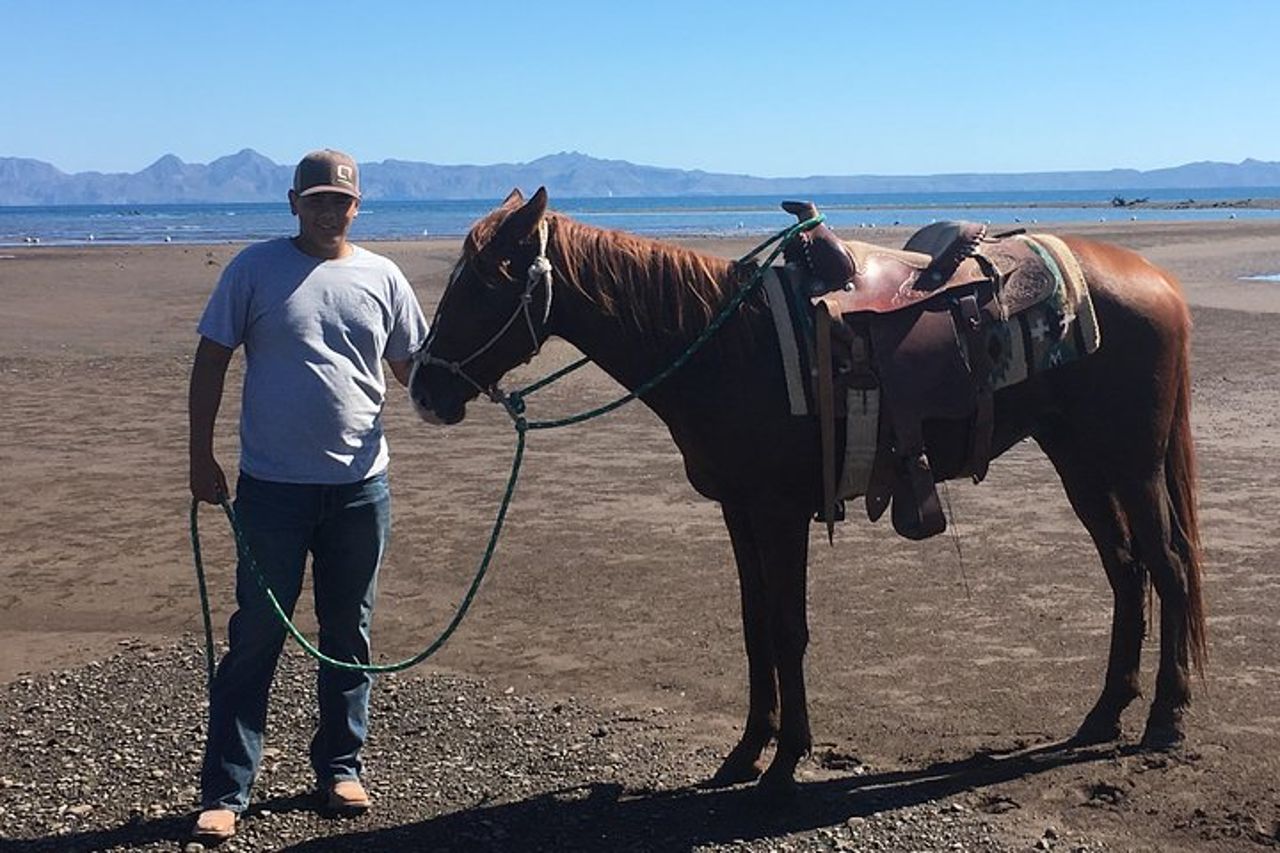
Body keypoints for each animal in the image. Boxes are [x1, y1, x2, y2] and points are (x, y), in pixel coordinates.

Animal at [409, 187, 1206, 795]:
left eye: (484, 284)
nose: (421, 388)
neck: (724, 347)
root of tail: (1157, 282)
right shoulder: (737, 508)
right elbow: (755, 621)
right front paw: (745, 750)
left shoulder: (780, 509)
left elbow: (789, 626)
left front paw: (786, 757)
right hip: (1078, 460)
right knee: (1126, 570)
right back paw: (1103, 714)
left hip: (1131, 463)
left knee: (1166, 566)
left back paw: (1165, 717)